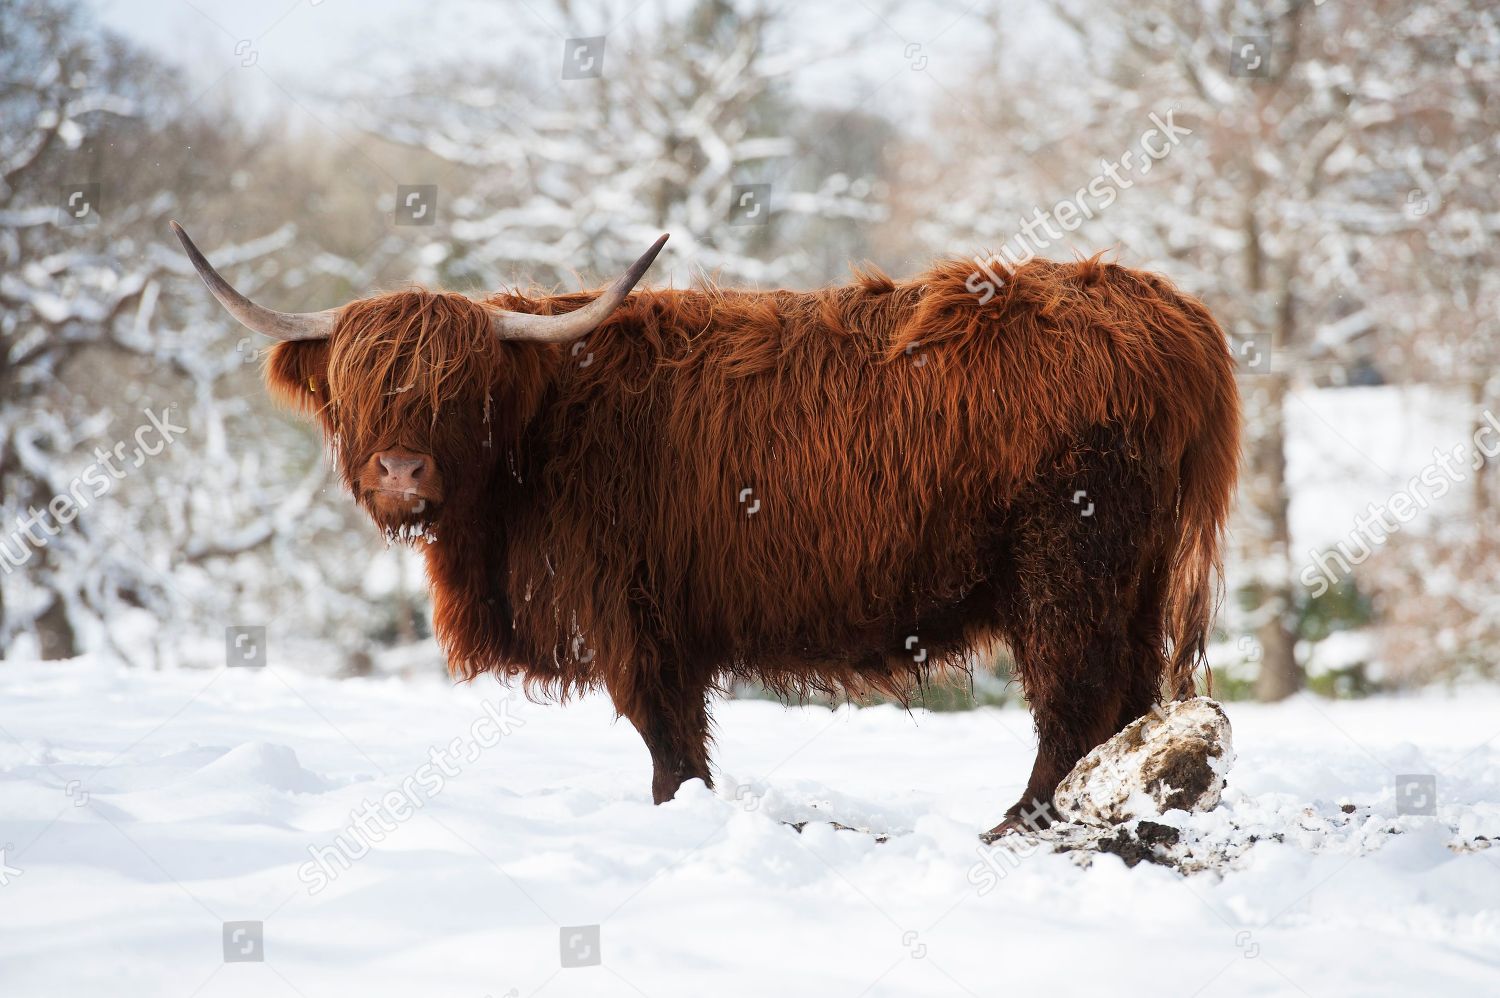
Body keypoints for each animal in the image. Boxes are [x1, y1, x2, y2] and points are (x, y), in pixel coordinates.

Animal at [172, 221, 1239, 837]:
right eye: (359, 386)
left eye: (461, 386)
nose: (401, 470)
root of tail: (1168, 309)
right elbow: (679, 739)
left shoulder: (631, 613)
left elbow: (666, 741)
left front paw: (674, 822)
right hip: (1130, 579)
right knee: (1130, 702)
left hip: (1069, 564)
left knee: (1075, 700)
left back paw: (1018, 826)